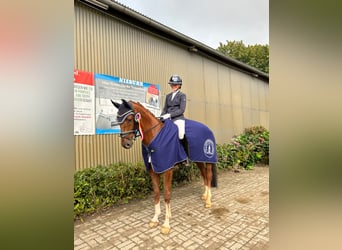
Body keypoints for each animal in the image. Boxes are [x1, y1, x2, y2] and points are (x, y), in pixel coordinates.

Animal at [111, 99, 216, 234]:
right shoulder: (152, 170)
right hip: (198, 159)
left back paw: (208, 201)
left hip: (207, 159)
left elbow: (166, 194)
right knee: (204, 175)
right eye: (118, 120)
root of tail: (207, 128)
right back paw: (204, 195)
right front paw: (155, 219)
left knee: (208, 175)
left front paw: (166, 224)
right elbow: (156, 193)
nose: (126, 144)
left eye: (129, 119)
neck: (155, 136)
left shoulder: (168, 169)